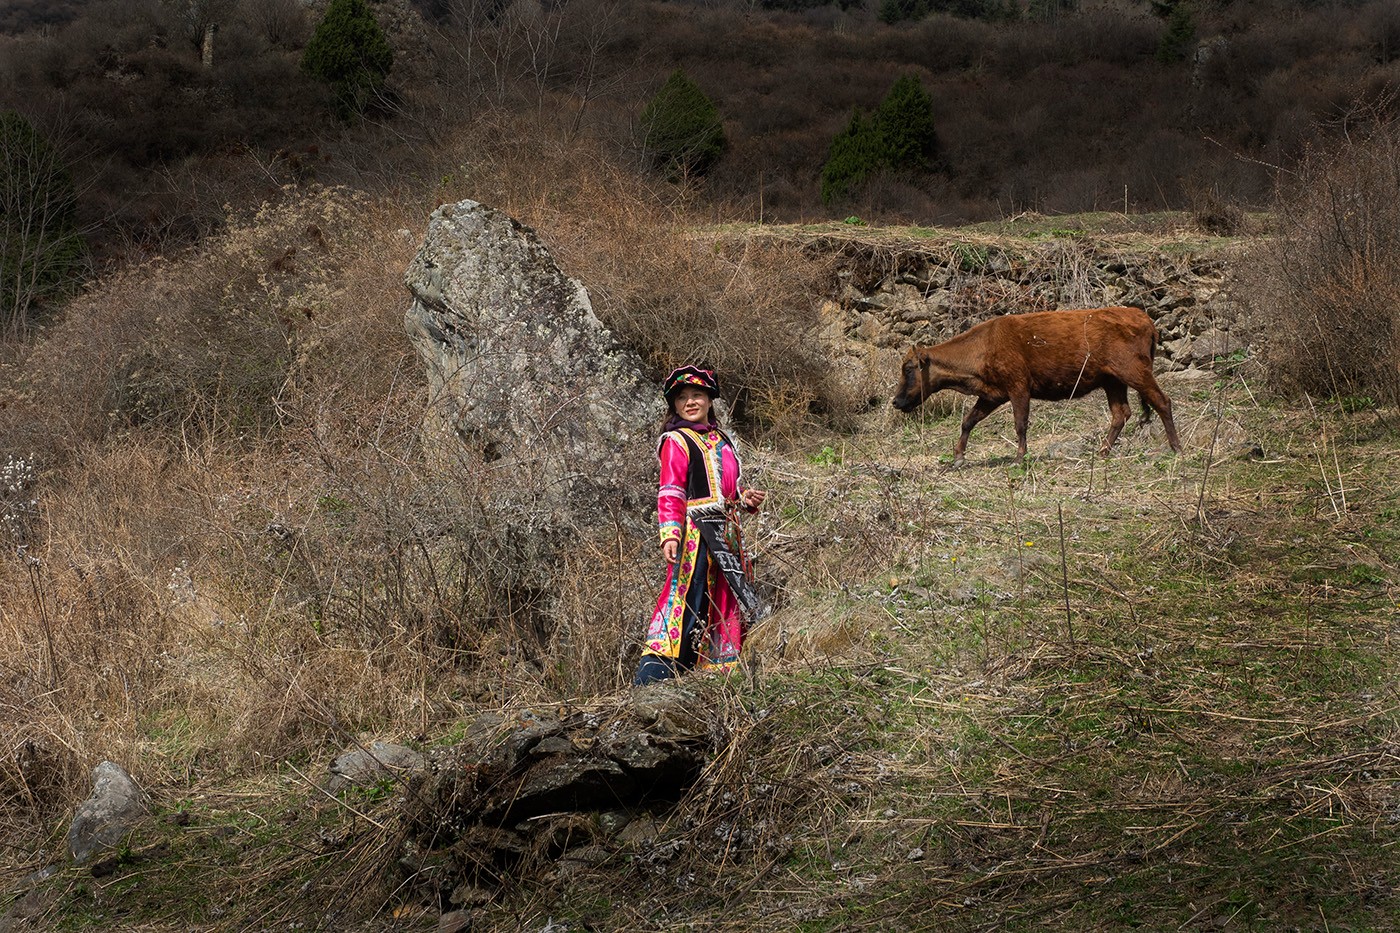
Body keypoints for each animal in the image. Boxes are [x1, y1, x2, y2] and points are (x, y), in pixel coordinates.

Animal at [891, 306, 1182, 463]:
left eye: (908, 369)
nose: (895, 401)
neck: (985, 344)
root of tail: (1142, 317)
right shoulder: (992, 395)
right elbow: (968, 420)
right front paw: (958, 456)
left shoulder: (1019, 389)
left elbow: (1020, 424)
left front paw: (1019, 457)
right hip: (1113, 382)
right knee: (1121, 413)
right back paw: (1102, 451)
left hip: (1135, 374)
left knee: (1161, 401)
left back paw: (1176, 448)